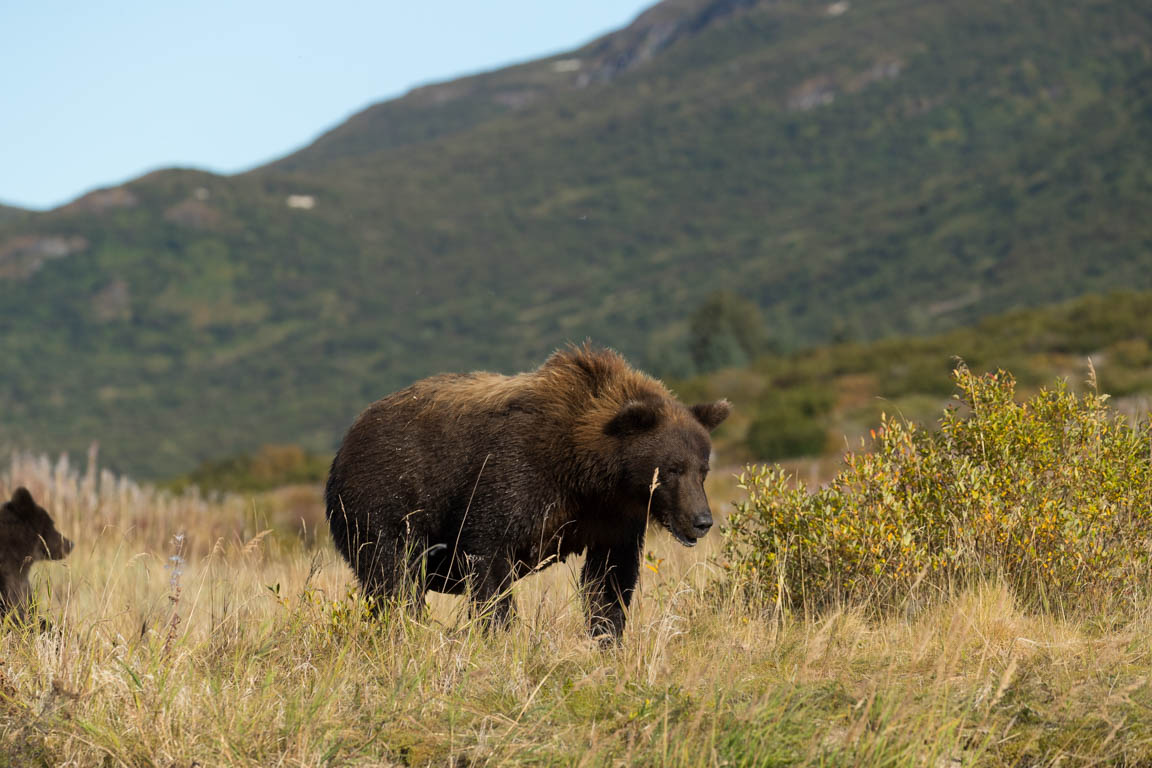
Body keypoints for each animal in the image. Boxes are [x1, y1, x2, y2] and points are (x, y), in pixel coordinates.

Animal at [324, 345, 728, 640]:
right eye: (672, 469)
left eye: (703, 469)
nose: (701, 520)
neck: (587, 471)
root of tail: (345, 442)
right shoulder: (513, 476)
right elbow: (488, 558)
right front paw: (499, 631)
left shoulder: (610, 520)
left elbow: (608, 579)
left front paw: (606, 635)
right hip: (385, 499)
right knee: (394, 576)